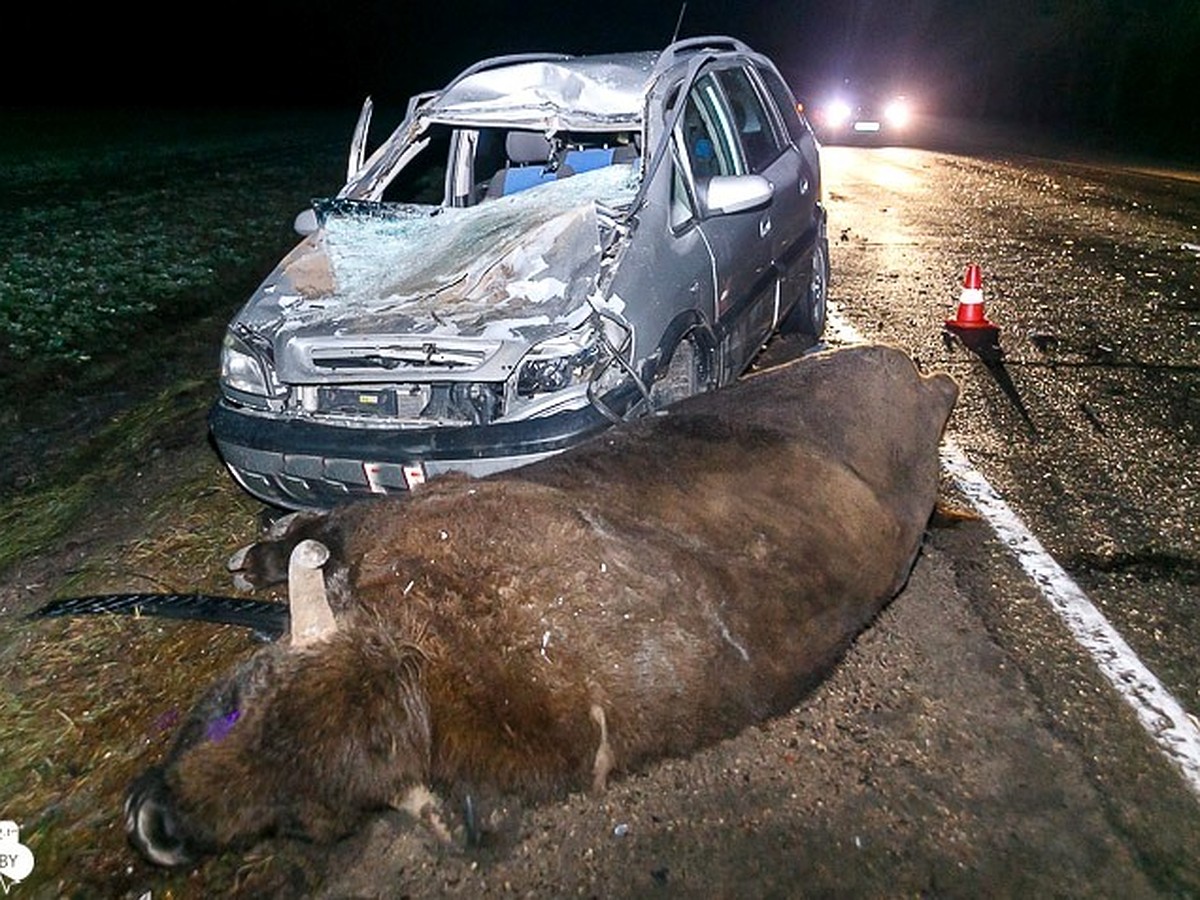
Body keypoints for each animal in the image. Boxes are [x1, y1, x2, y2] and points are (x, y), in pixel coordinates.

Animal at [126, 343, 960, 868]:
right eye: (240, 697)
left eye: (300, 814)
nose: (155, 827)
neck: (435, 655)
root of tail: (925, 382)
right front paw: (258, 554)